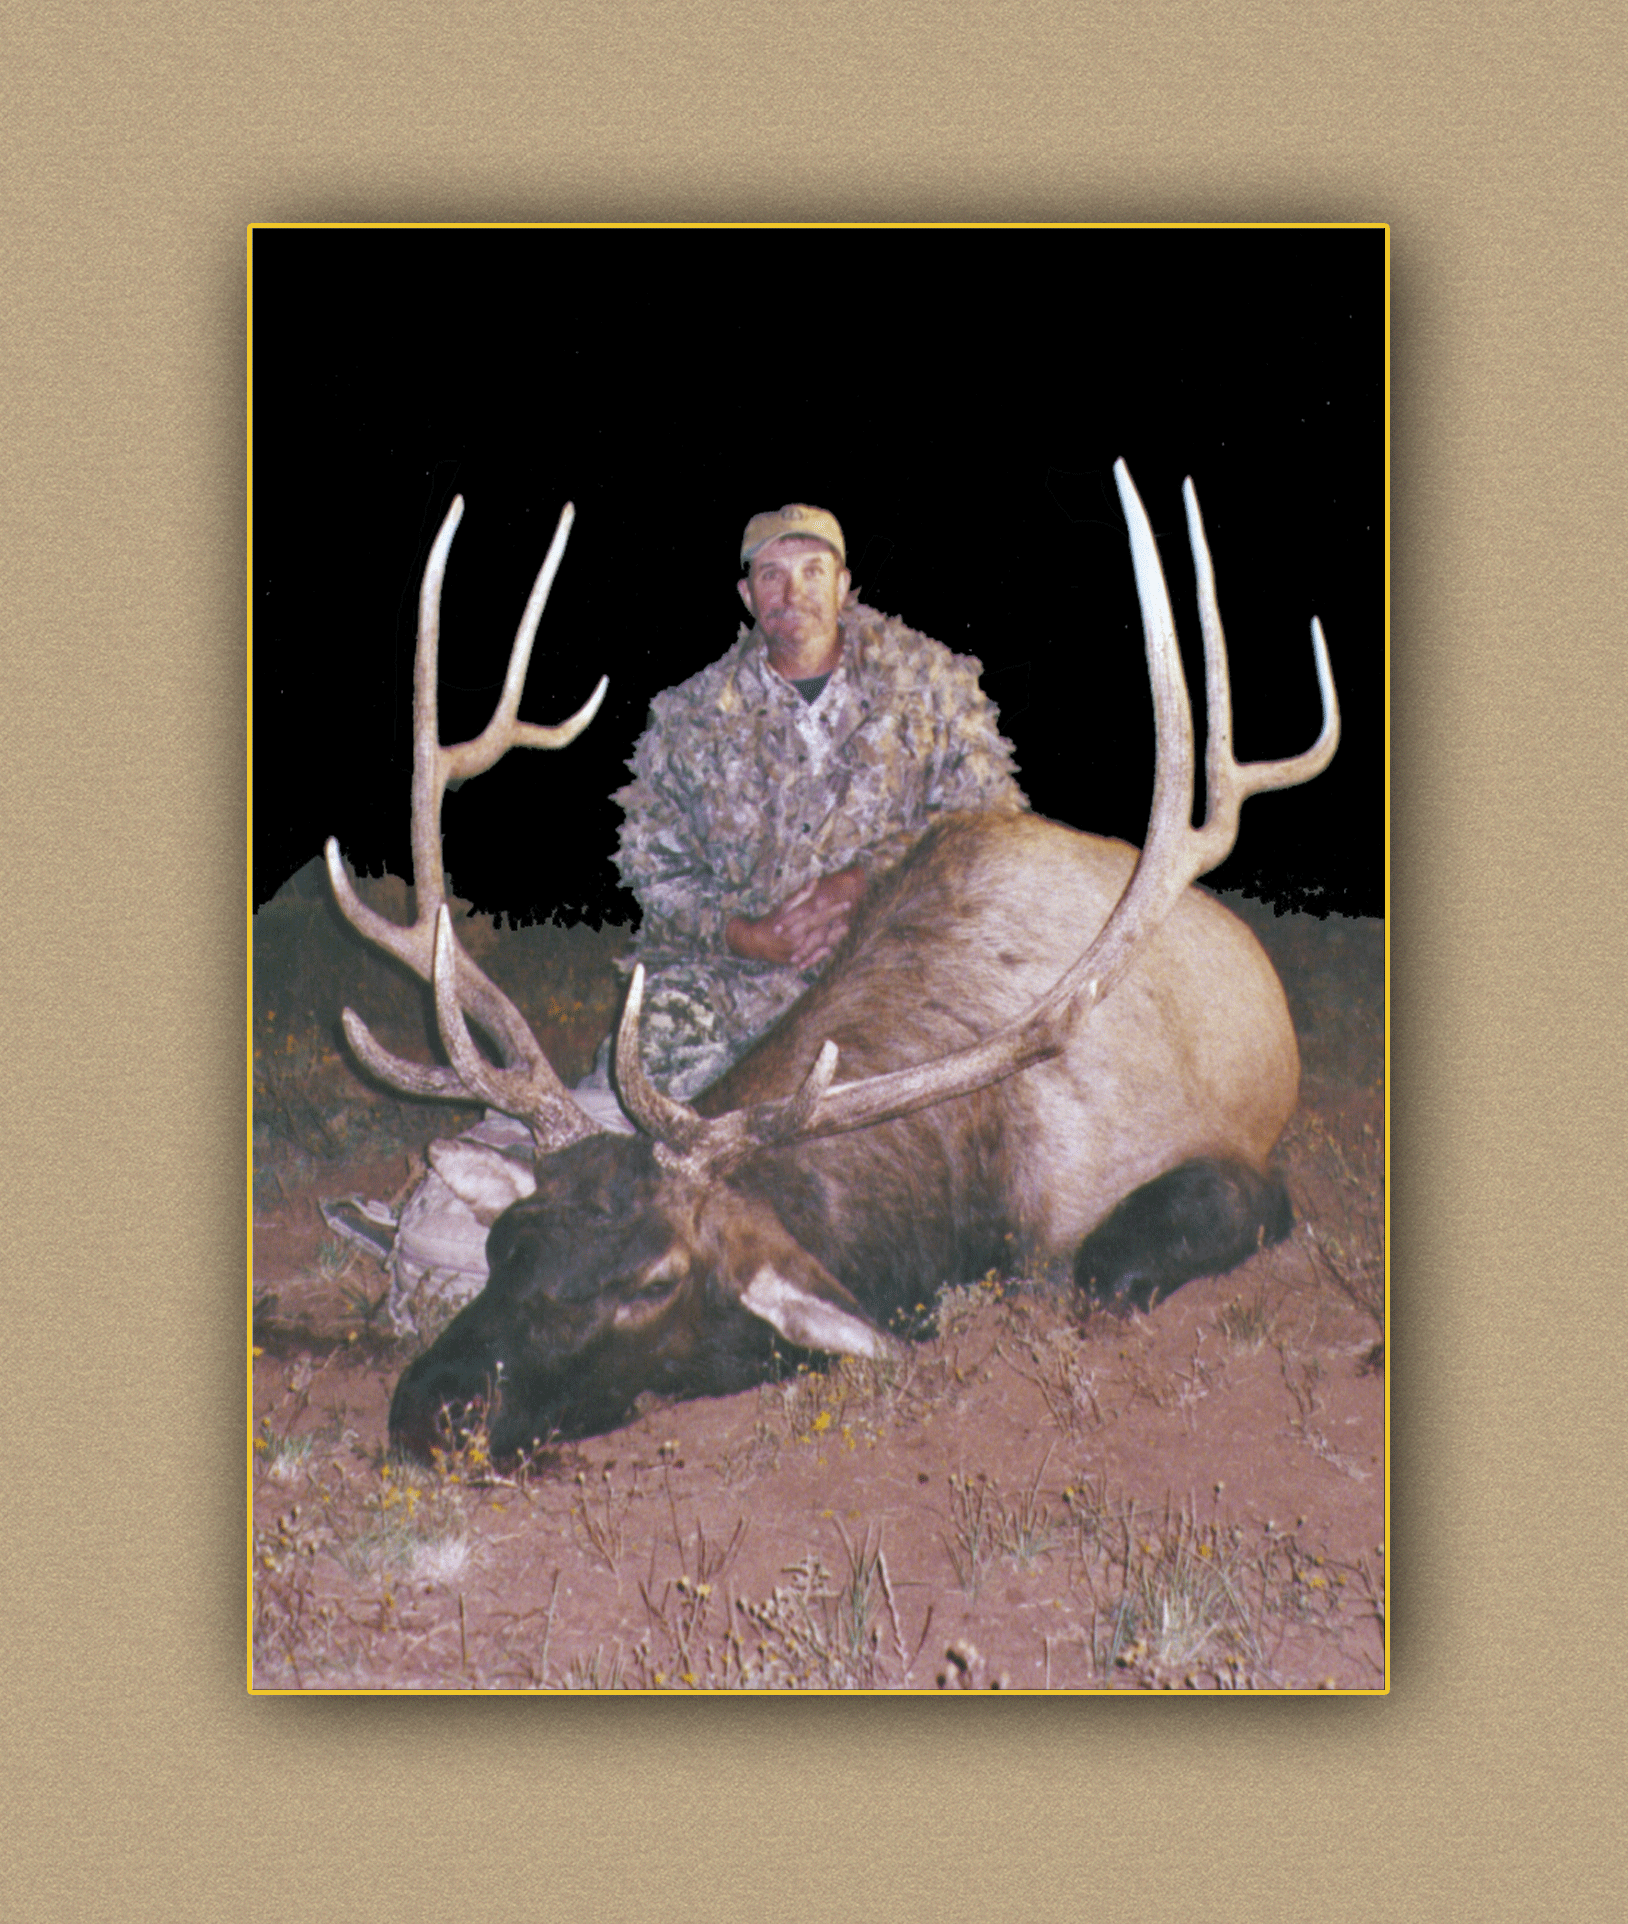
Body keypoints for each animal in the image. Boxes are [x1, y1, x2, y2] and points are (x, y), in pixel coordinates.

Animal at [322, 463, 1339, 1460]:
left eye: (654, 1282)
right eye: (507, 1241)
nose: (432, 1408)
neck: (973, 1183)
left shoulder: (1228, 1165)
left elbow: (1108, 1272)